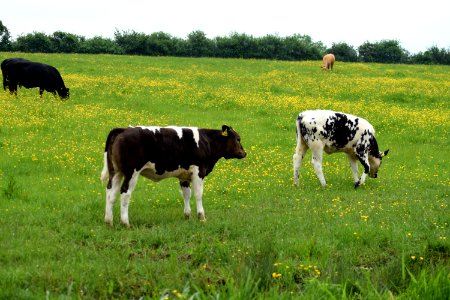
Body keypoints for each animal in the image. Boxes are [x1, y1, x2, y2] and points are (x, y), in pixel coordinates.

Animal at [100, 123, 246, 225]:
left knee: (111, 193)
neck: (206, 141)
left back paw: (109, 221)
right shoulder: (198, 171)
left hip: (115, 172)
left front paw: (187, 216)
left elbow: (186, 194)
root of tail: (124, 129)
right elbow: (198, 194)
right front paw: (201, 217)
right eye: (238, 139)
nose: (244, 153)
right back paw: (125, 223)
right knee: (125, 193)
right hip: (131, 173)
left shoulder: (184, 175)